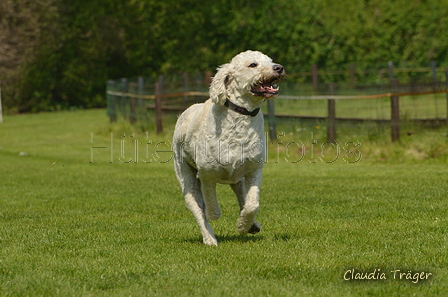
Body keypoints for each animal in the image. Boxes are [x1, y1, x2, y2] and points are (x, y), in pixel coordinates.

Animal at [173, 51, 286, 245]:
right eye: (253, 65)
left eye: (270, 61)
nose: (279, 68)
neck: (241, 115)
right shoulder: (206, 174)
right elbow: (209, 201)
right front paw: (215, 214)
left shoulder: (254, 169)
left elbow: (252, 204)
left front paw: (243, 226)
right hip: (185, 176)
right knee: (197, 208)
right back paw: (209, 238)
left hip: (237, 180)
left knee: (243, 198)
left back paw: (252, 225)